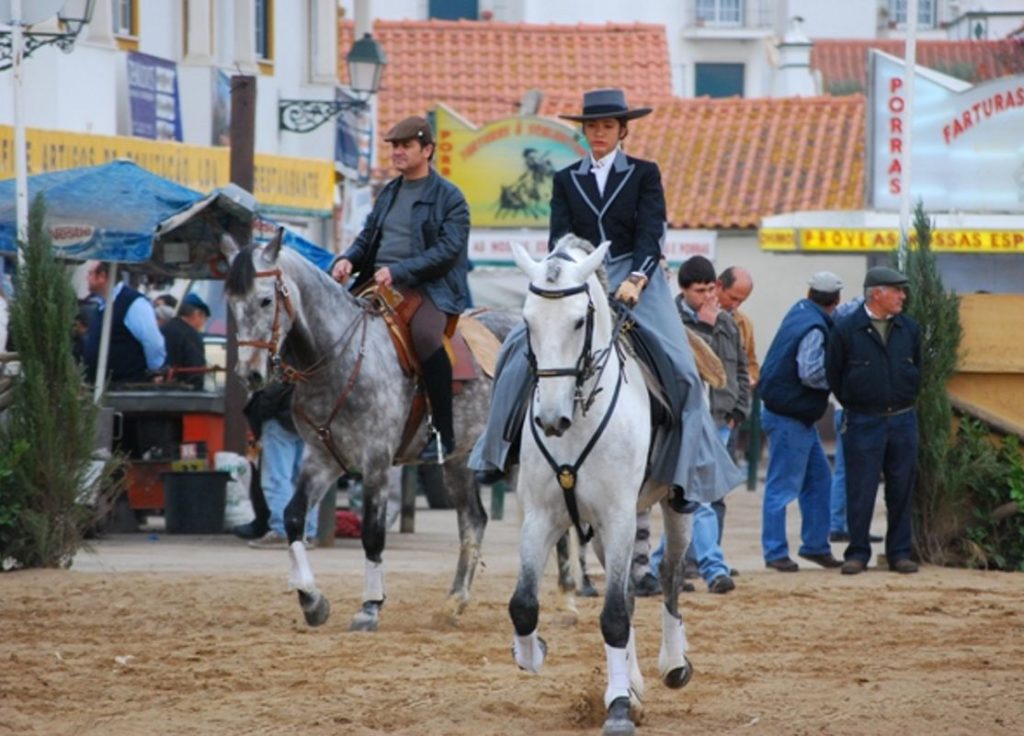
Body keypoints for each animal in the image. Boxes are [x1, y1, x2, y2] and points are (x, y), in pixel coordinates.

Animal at [220, 231, 516, 634]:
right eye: (232, 303)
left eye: (266, 300)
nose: (249, 374)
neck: (339, 361)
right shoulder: (322, 457)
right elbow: (294, 516)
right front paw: (311, 600)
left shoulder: (376, 460)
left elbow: (372, 533)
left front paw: (370, 607)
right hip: (458, 460)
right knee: (474, 520)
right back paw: (453, 603)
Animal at [505, 236, 692, 736]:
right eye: (527, 320)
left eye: (577, 320)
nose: (551, 419)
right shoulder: (541, 517)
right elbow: (523, 605)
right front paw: (533, 652)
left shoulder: (618, 515)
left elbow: (613, 617)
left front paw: (620, 710)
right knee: (626, 591)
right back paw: (634, 682)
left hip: (672, 507)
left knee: (669, 576)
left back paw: (672, 665)